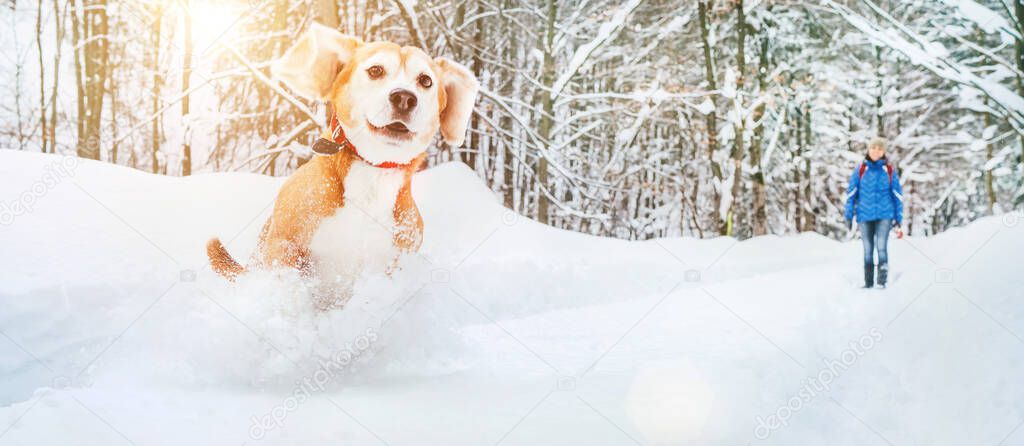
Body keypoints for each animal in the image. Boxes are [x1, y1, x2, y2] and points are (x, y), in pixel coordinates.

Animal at [209, 23, 481, 302]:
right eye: (376, 70)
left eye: (425, 80)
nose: (405, 98)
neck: (372, 171)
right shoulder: (283, 245)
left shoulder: (394, 263)